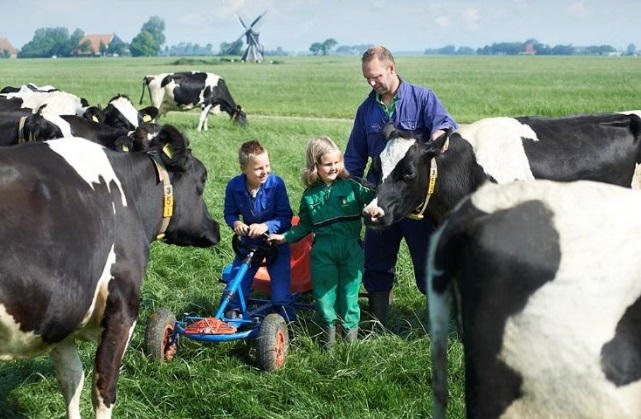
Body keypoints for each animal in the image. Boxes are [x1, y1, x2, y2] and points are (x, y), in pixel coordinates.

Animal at [0, 125, 221, 418]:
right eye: (203, 178)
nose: (216, 228)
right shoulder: (122, 310)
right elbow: (103, 388)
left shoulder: (62, 314)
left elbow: (72, 379)